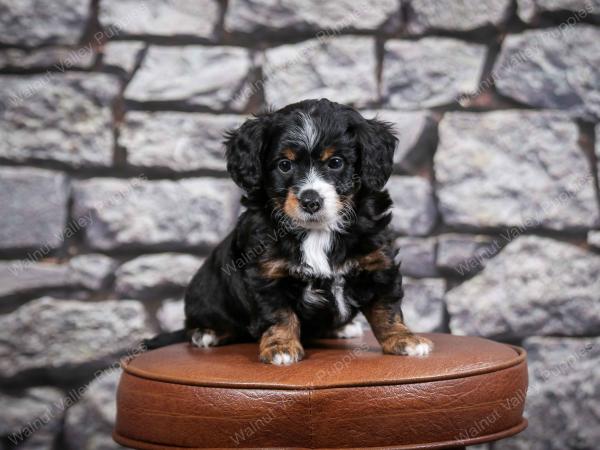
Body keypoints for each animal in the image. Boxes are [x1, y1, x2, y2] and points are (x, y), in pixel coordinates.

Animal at [148, 98, 434, 366]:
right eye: (284, 165)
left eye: (336, 162)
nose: (311, 201)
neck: (317, 230)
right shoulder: (266, 274)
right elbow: (279, 315)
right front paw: (281, 347)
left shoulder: (378, 263)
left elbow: (387, 309)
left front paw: (404, 339)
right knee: (197, 325)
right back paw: (208, 332)